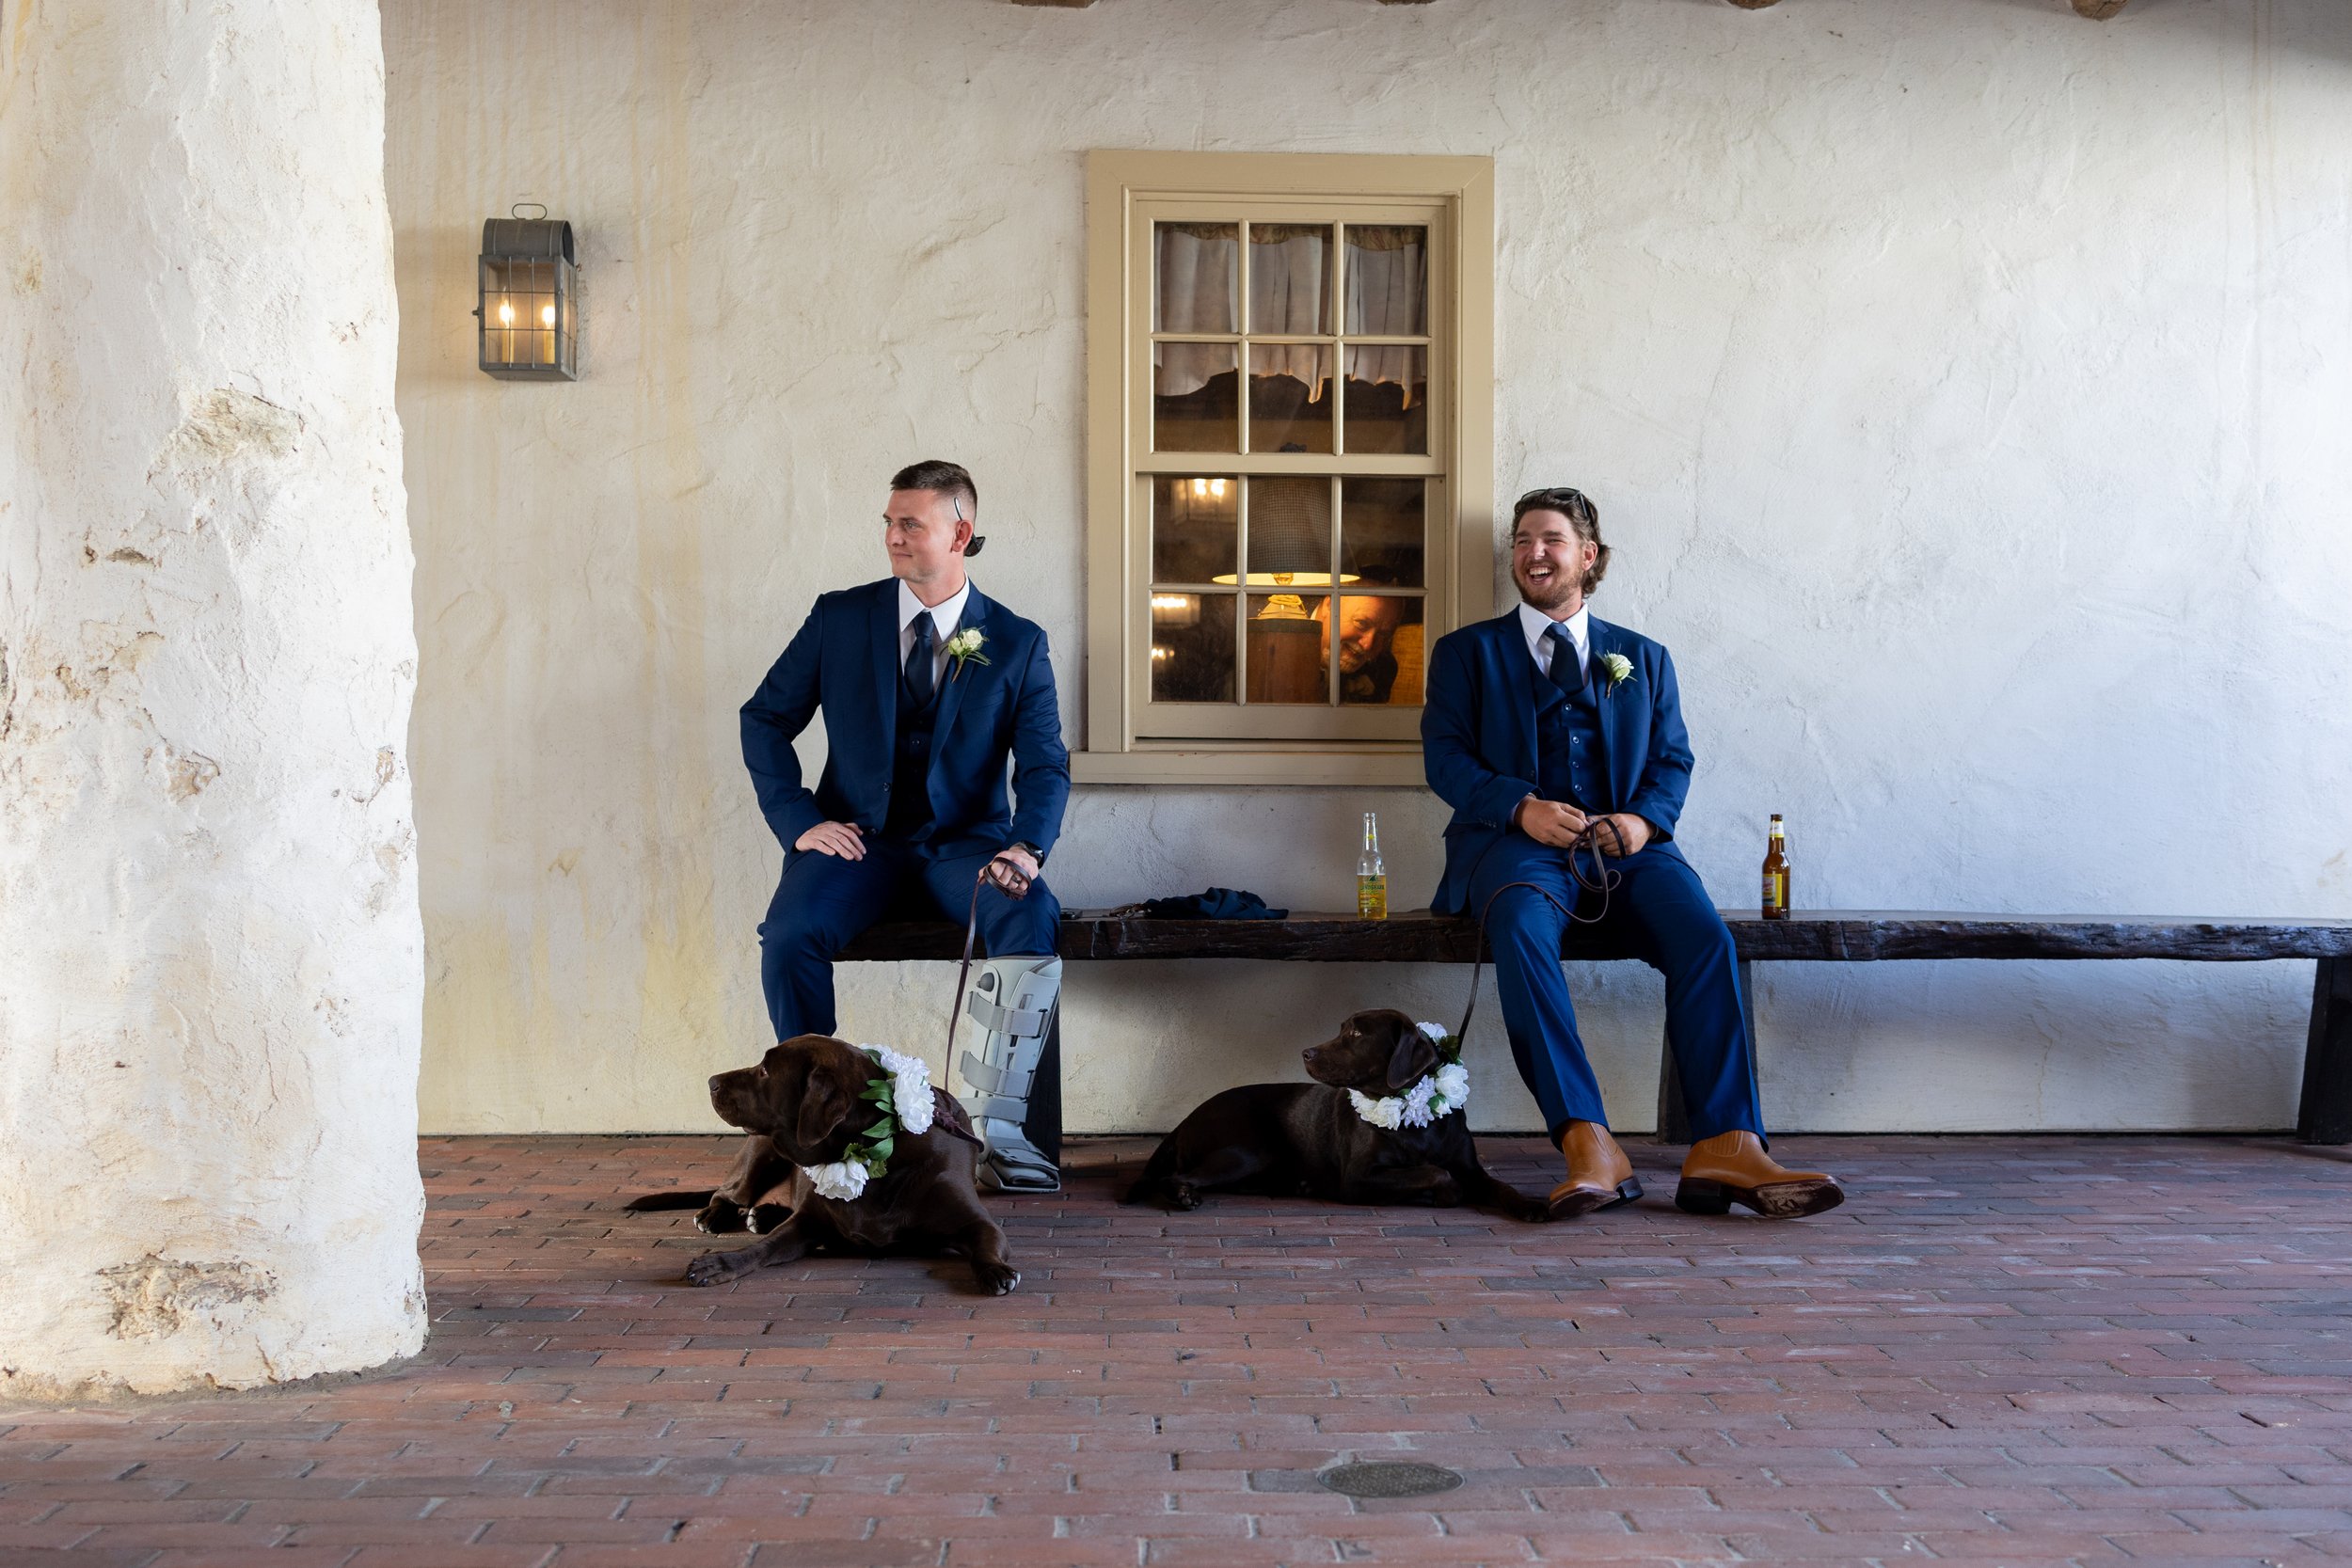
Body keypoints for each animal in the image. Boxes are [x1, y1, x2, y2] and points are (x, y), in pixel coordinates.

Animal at [649, 1034, 1016, 1297]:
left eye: (765, 1070)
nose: (711, 1081)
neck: (877, 1153)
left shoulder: (976, 1222)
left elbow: (986, 1243)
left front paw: (995, 1270)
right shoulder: (807, 1223)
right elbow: (763, 1248)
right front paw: (721, 1263)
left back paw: (764, 1215)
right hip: (759, 1151)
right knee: (730, 1192)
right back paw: (718, 1214)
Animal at [1115, 1010, 1543, 1222]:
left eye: (1356, 1034)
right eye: (1342, 1029)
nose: (1306, 1052)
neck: (1412, 1115)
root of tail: (1183, 1122)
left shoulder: (1472, 1169)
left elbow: (1498, 1186)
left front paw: (1529, 1204)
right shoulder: (1358, 1178)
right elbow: (1436, 1172)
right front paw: (1445, 1193)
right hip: (1248, 1151)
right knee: (1174, 1177)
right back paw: (1186, 1195)